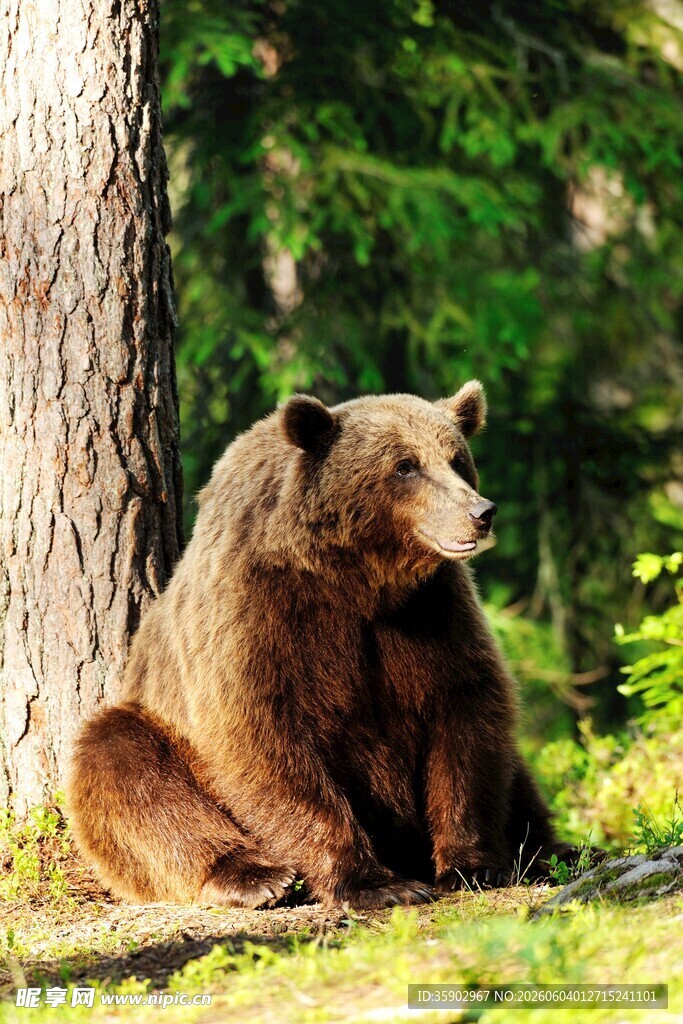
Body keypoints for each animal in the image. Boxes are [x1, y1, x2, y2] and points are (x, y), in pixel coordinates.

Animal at [68, 382, 569, 909]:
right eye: (405, 465)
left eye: (457, 459)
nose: (480, 512)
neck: (357, 578)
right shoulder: (260, 616)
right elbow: (264, 741)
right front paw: (378, 884)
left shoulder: (429, 615)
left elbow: (467, 712)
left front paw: (471, 864)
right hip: (156, 730)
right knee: (123, 764)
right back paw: (254, 876)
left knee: (519, 778)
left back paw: (552, 850)